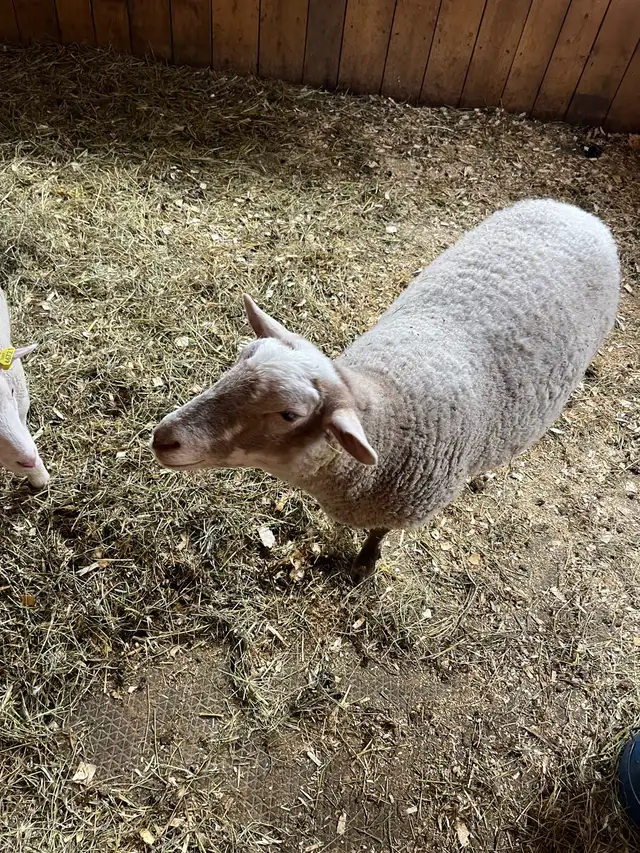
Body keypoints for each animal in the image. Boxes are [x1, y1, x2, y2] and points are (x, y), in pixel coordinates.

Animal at [151, 199, 620, 579]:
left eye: (289, 414)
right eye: (237, 361)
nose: (163, 439)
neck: (389, 410)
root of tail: (577, 211)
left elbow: (377, 534)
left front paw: (364, 563)